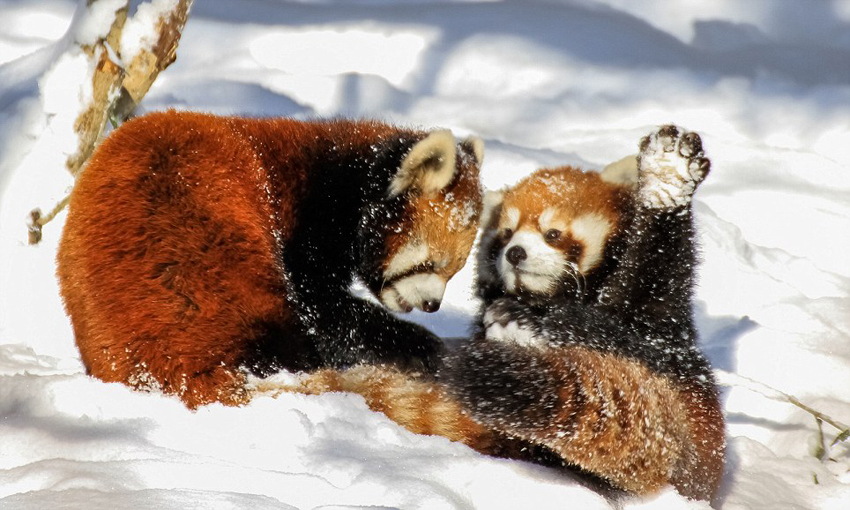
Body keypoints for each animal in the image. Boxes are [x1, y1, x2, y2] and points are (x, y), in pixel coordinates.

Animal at [58, 111, 484, 410]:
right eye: (430, 264)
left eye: (454, 272)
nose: (432, 305)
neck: (345, 179)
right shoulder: (307, 227)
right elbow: (326, 311)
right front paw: (420, 345)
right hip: (205, 268)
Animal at [264, 124, 724, 502]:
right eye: (505, 233)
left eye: (553, 233)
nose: (515, 253)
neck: (546, 297)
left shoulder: (660, 329)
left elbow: (646, 315)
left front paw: (667, 183)